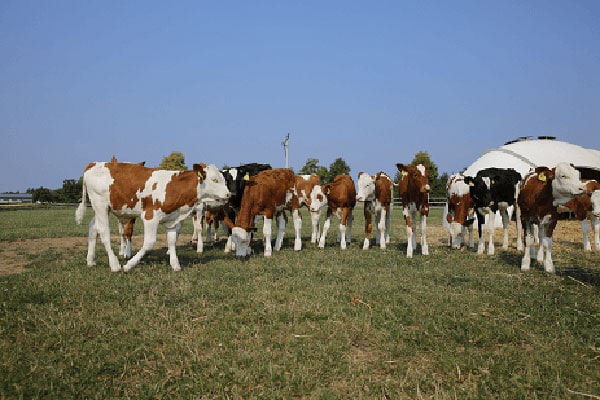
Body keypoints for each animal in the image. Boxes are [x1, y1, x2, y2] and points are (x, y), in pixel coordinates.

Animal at [76, 162, 231, 272]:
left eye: (223, 180)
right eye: (214, 180)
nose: (229, 194)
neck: (174, 187)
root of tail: (94, 163)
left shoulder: (172, 219)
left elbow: (172, 240)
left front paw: (175, 264)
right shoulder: (150, 217)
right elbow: (149, 243)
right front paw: (129, 265)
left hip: (103, 208)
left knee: (93, 227)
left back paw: (91, 260)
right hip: (100, 205)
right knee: (104, 232)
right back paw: (114, 264)